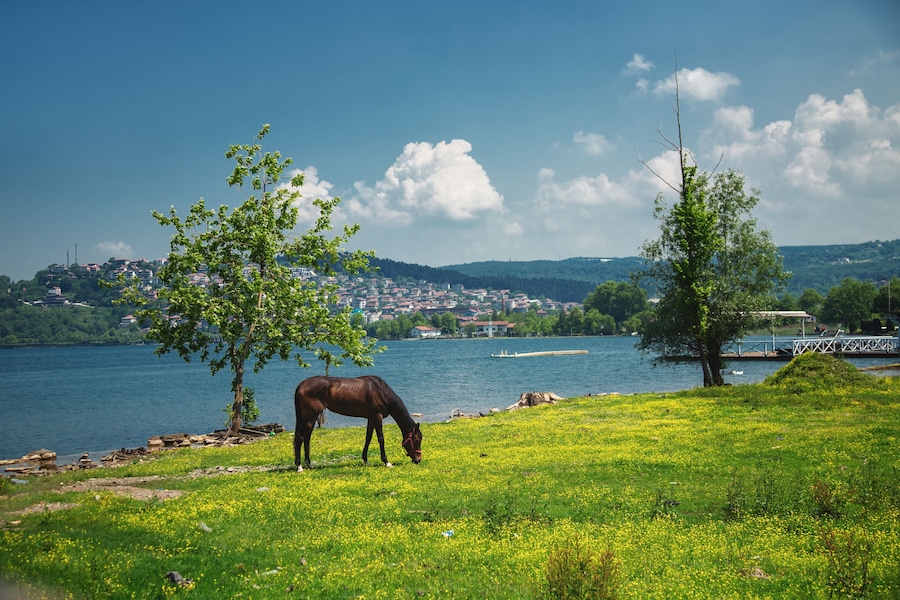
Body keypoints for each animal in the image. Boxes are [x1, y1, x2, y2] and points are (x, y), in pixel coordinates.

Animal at [293, 375, 422, 472]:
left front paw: (366, 460)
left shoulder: (371, 418)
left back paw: (309, 464)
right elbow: (381, 439)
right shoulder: (377, 417)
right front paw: (387, 462)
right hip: (310, 418)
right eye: (416, 440)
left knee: (306, 439)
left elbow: (368, 438)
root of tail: (301, 385)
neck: (381, 392)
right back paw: (299, 467)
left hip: (309, 419)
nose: (418, 460)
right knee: (300, 439)